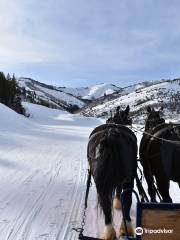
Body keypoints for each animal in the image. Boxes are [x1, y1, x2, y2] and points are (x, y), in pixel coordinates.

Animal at [87, 106, 136, 240]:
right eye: (126, 116)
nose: (131, 121)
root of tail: (111, 136)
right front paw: (118, 203)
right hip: (129, 179)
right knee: (127, 199)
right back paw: (124, 229)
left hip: (101, 182)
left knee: (106, 204)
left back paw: (110, 232)